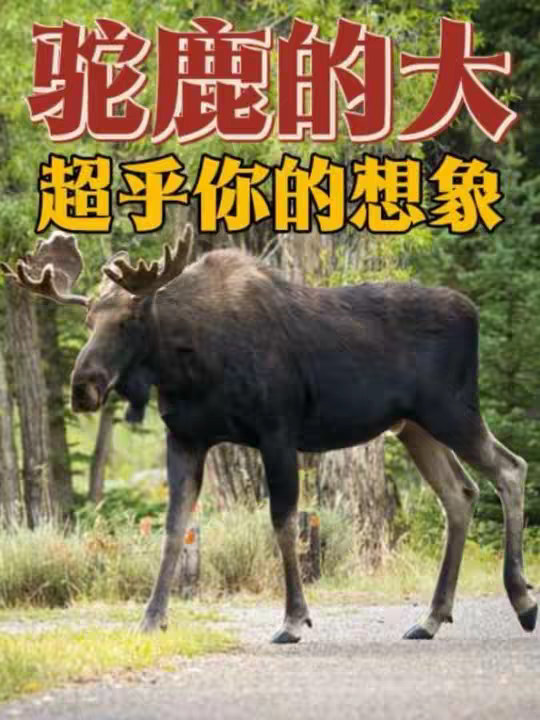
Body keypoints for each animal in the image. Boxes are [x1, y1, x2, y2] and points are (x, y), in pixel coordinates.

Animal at [1, 229, 537, 643]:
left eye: (129, 319)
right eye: (89, 319)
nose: (83, 387)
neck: (188, 366)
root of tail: (473, 311)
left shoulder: (277, 431)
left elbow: (284, 522)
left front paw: (294, 619)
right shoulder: (186, 439)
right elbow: (174, 529)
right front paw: (152, 618)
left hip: (451, 411)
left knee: (510, 468)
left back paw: (522, 600)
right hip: (415, 427)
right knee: (460, 493)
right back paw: (431, 617)